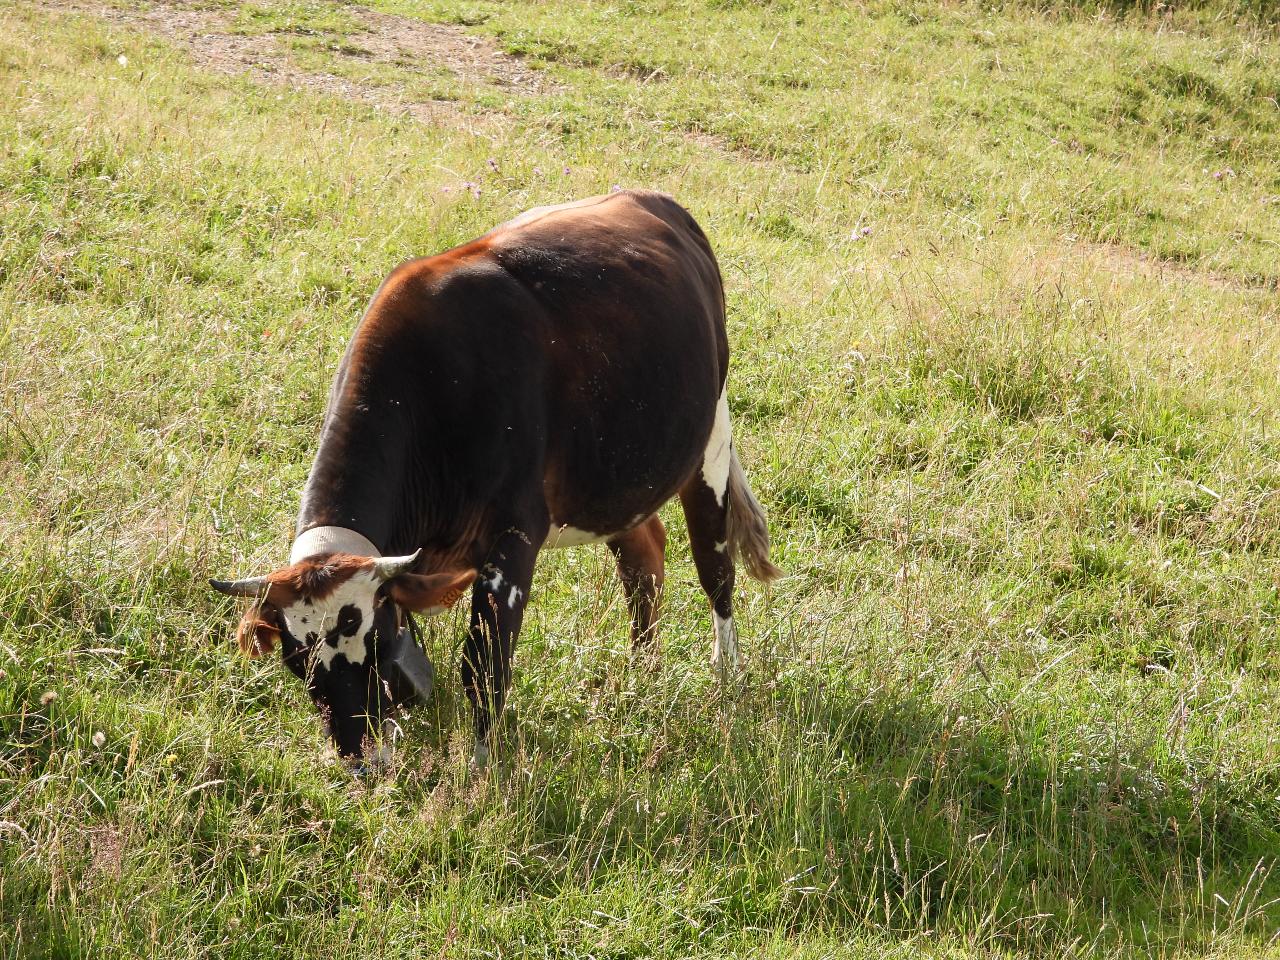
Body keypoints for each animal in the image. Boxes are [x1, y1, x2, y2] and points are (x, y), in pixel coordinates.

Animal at [209, 189, 778, 773]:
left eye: (377, 645)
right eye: (296, 663)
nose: (359, 759)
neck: (434, 392)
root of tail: (651, 199)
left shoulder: (515, 534)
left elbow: (484, 665)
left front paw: (482, 770)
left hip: (710, 440)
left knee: (714, 564)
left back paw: (726, 676)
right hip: (617, 479)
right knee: (643, 558)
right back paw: (642, 673)